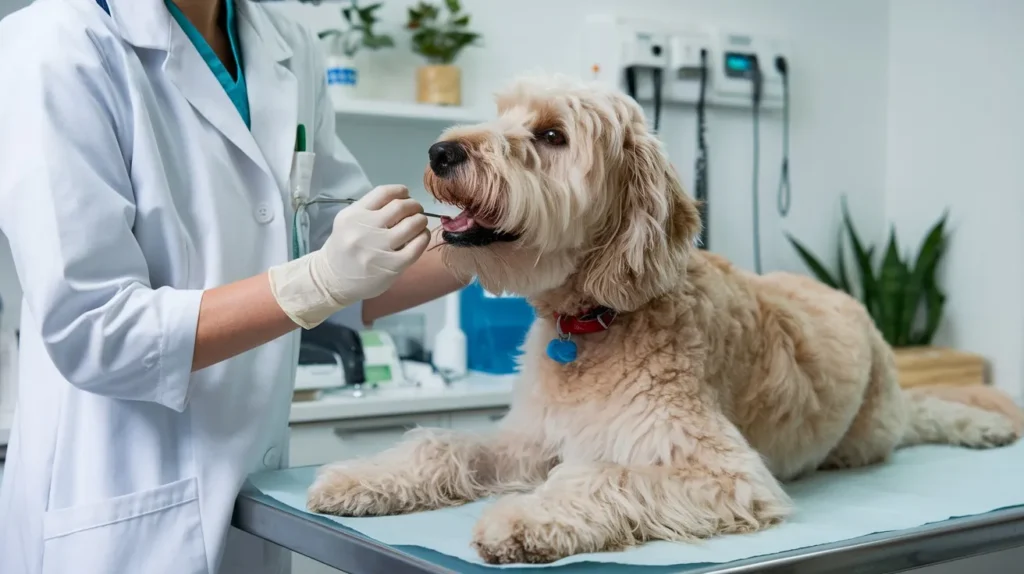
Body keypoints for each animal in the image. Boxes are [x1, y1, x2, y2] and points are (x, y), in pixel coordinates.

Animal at [305, 73, 1024, 560]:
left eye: (551, 135)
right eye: (502, 113)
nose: (441, 152)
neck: (593, 322)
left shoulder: (724, 473)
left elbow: (599, 474)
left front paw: (522, 519)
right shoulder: (527, 439)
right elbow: (443, 442)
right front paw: (364, 476)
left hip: (869, 430)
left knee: (920, 417)